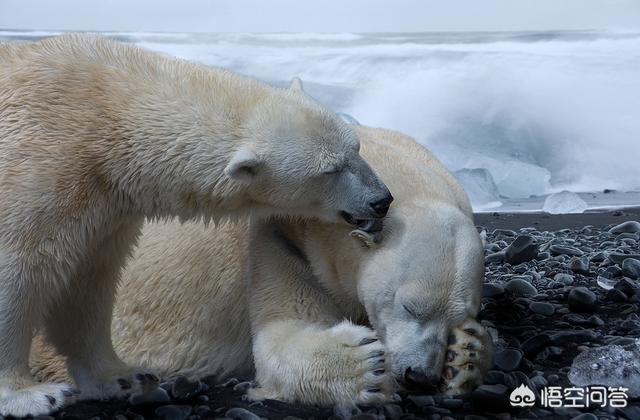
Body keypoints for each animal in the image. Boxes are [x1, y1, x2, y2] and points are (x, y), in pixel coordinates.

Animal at [0, 36, 390, 416]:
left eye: (356, 148)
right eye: (330, 170)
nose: (381, 199)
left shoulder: (104, 207)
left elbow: (88, 283)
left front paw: (122, 377)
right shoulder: (40, 168)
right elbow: (18, 271)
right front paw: (30, 395)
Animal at [32, 124, 492, 406]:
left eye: (460, 314)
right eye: (410, 306)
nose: (419, 375)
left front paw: (466, 355)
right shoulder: (279, 238)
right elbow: (281, 335)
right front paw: (365, 366)